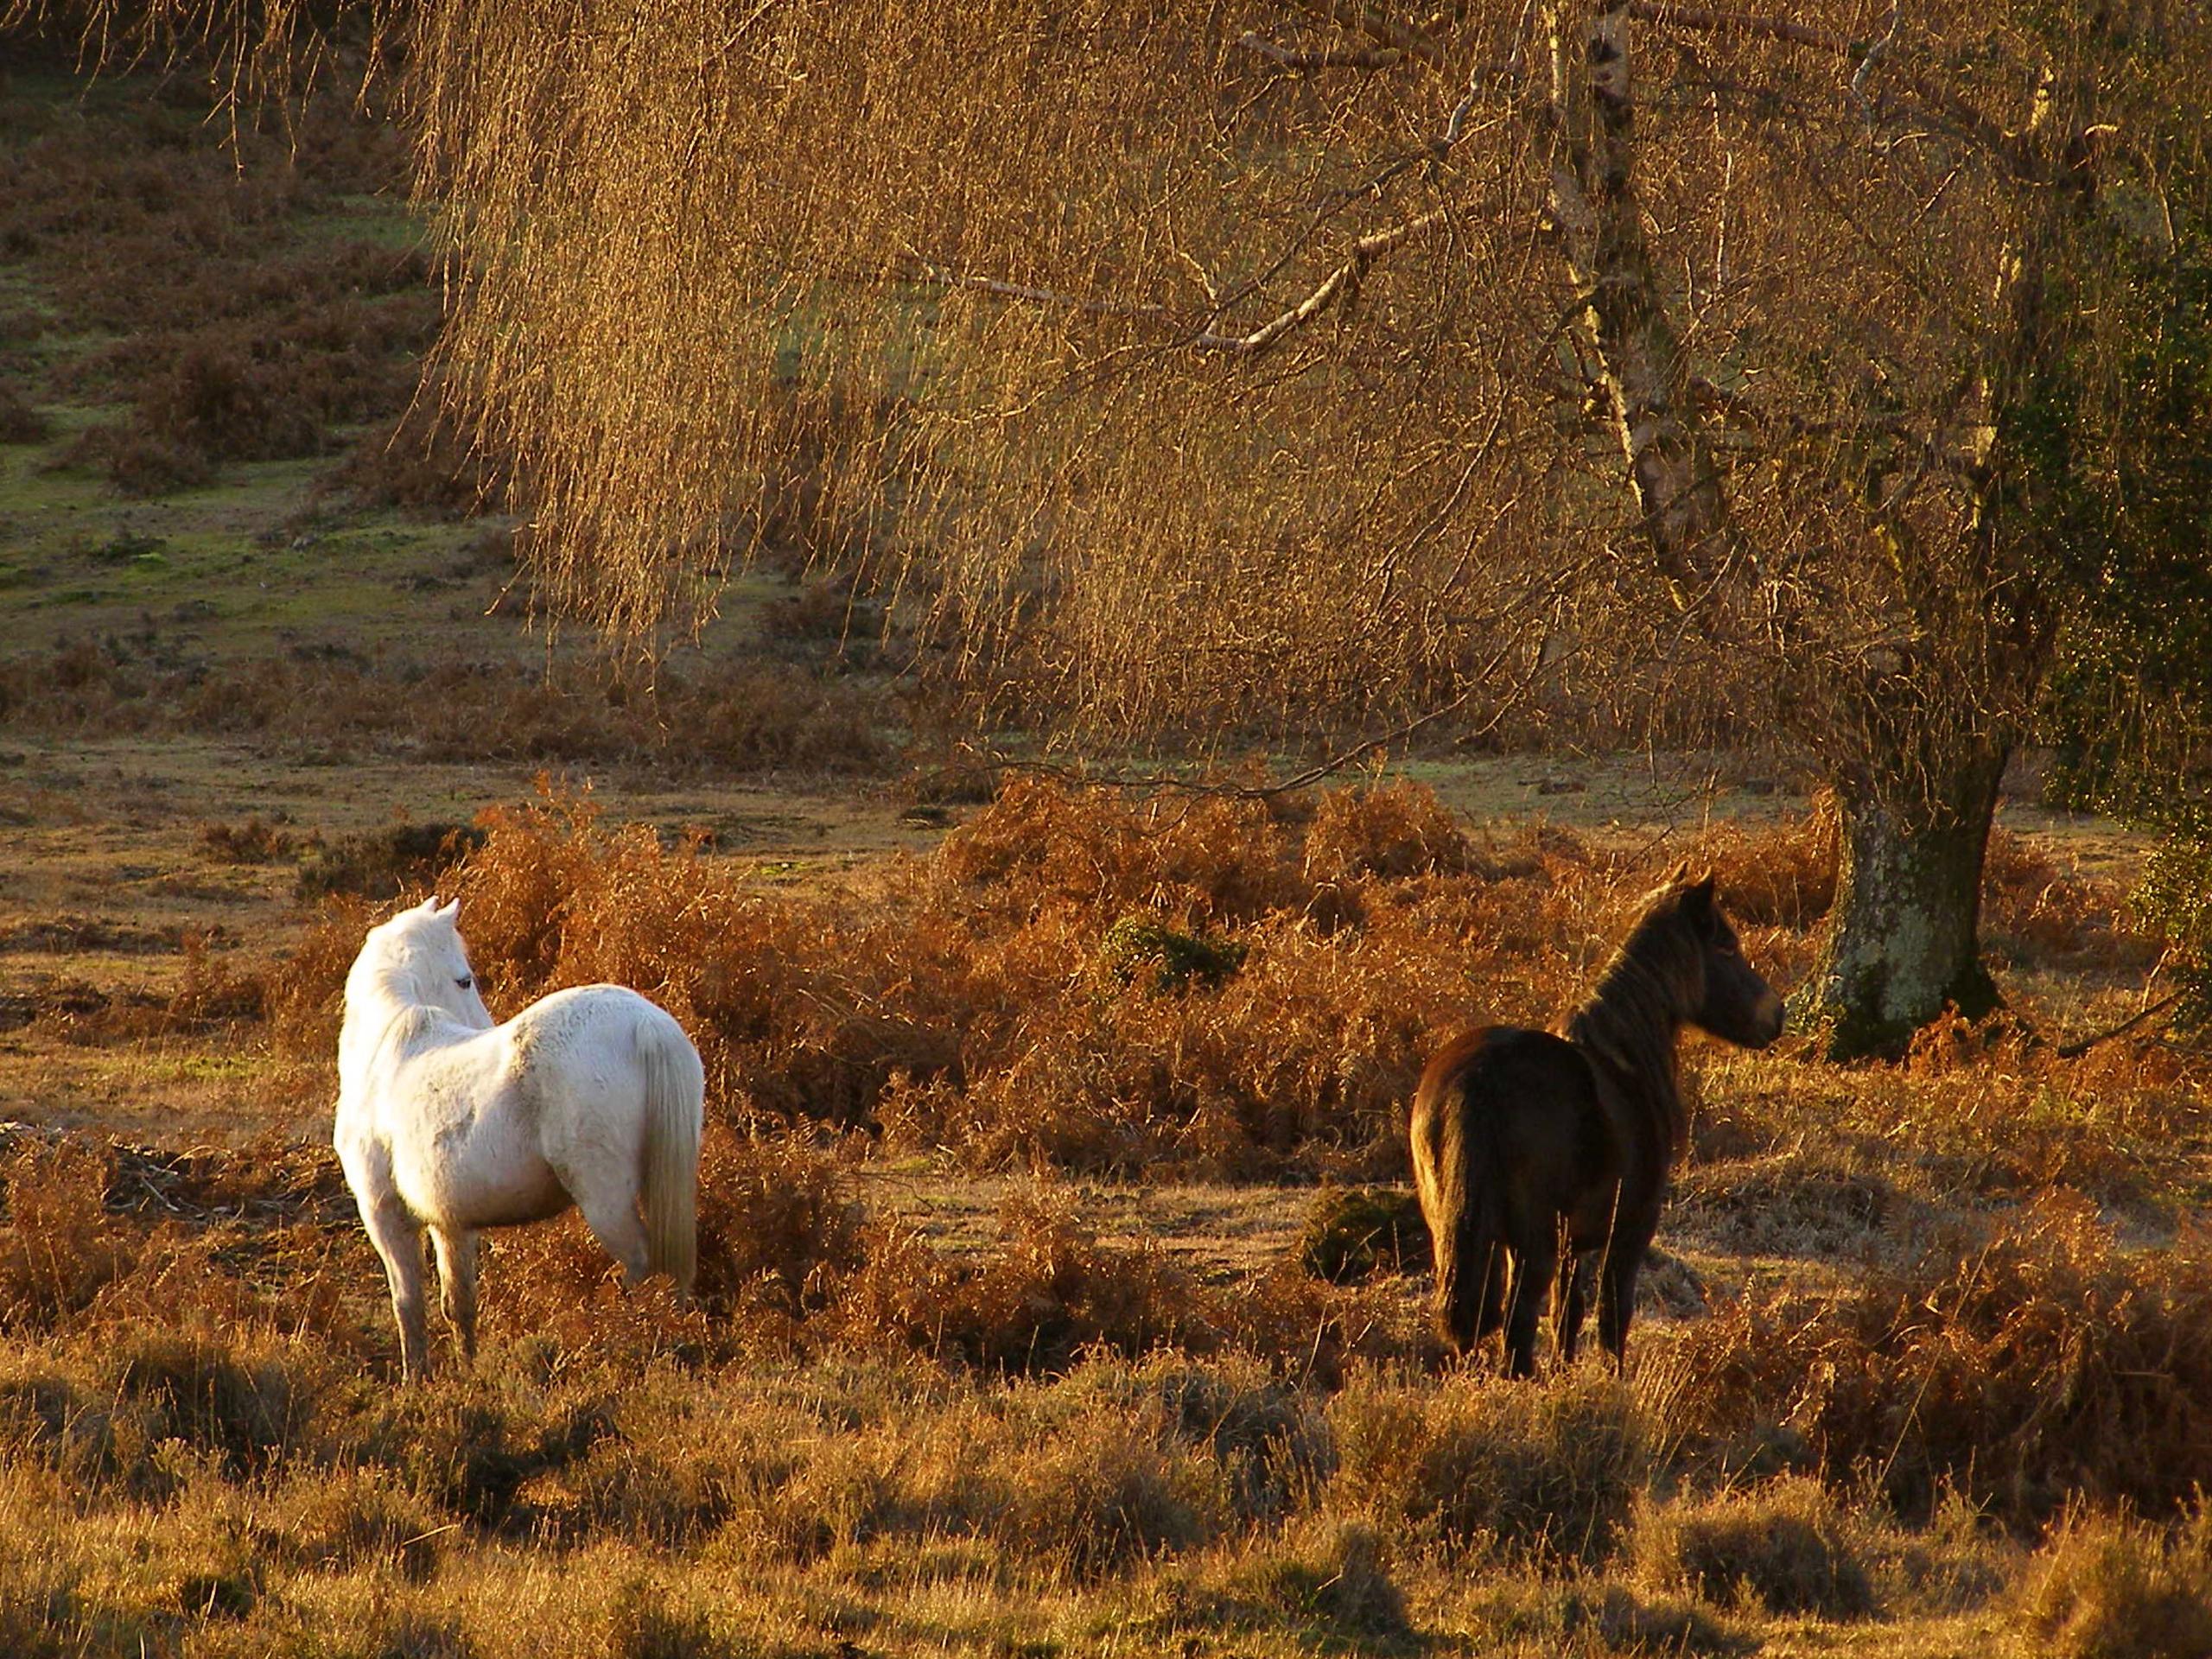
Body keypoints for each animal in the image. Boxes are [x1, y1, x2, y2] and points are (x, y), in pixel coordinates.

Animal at [329, 902, 698, 1380]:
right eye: (464, 980)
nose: (485, 1024)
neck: (388, 1055)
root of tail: (646, 1024)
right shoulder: (450, 1223)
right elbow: (458, 1305)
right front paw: (467, 1372)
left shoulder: (384, 1215)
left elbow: (408, 1305)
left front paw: (416, 1380)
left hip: (607, 1201)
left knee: (642, 1265)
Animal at [1415, 875, 1778, 1380]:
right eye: (1726, 945)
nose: (1777, 1016)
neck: (1623, 1061)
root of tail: (1480, 1075)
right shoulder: (1630, 1229)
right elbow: (1612, 1312)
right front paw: (1613, 1378)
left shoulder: (1575, 1242)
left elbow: (1568, 1312)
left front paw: (1565, 1373)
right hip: (1533, 1245)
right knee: (1518, 1326)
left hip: (1459, 1236)